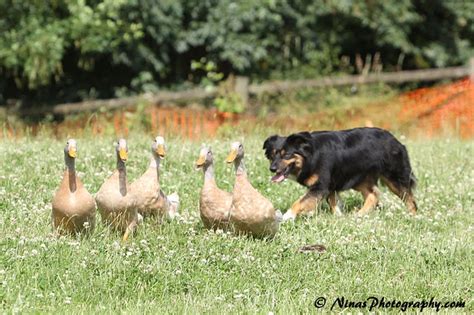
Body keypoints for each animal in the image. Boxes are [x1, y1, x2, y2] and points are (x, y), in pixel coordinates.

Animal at [264, 127, 416, 221]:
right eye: (272, 156)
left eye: (286, 155)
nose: (272, 169)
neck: (311, 156)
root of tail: (395, 140)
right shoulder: (330, 185)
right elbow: (332, 202)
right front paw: (337, 216)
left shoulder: (321, 186)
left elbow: (301, 201)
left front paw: (288, 216)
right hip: (359, 178)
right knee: (372, 195)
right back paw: (359, 215)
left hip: (394, 177)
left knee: (409, 198)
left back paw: (413, 216)